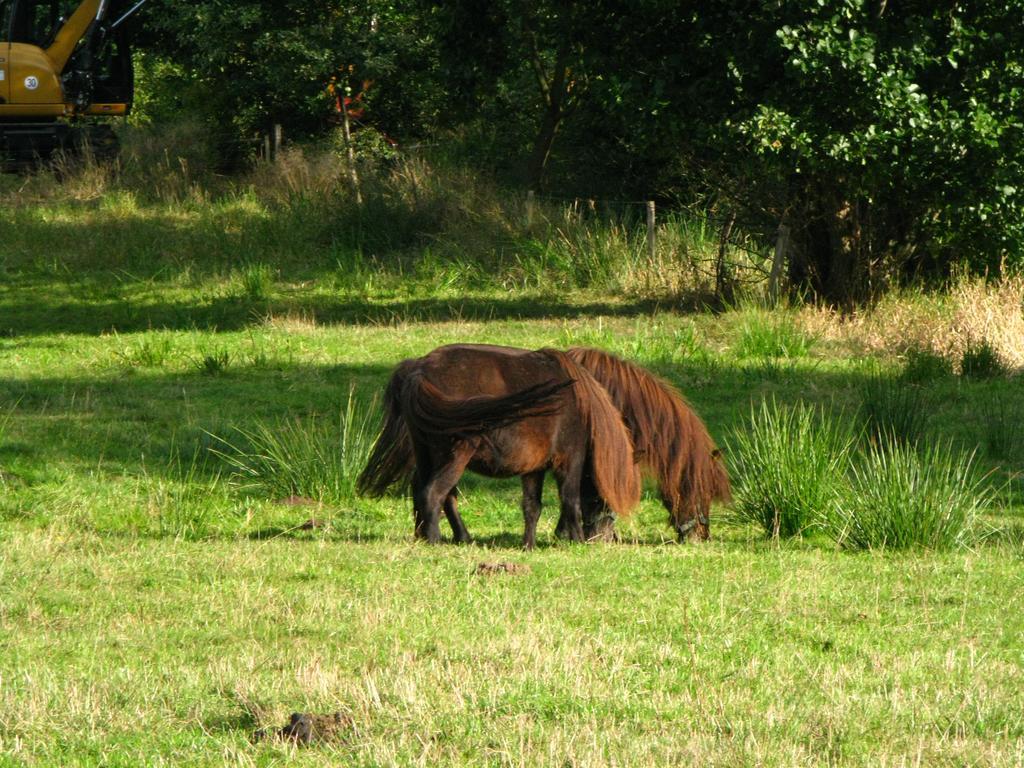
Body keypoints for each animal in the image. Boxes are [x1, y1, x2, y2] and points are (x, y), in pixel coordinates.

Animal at [356, 346, 634, 548]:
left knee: (429, 492)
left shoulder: (534, 469)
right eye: (602, 501)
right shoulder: (569, 460)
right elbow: (570, 500)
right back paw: (435, 540)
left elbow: (532, 506)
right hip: (454, 457)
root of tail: (419, 372)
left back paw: (438, 536)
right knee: (433, 494)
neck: (580, 405)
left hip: (426, 454)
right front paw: (576, 540)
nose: (602, 538)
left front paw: (528, 545)